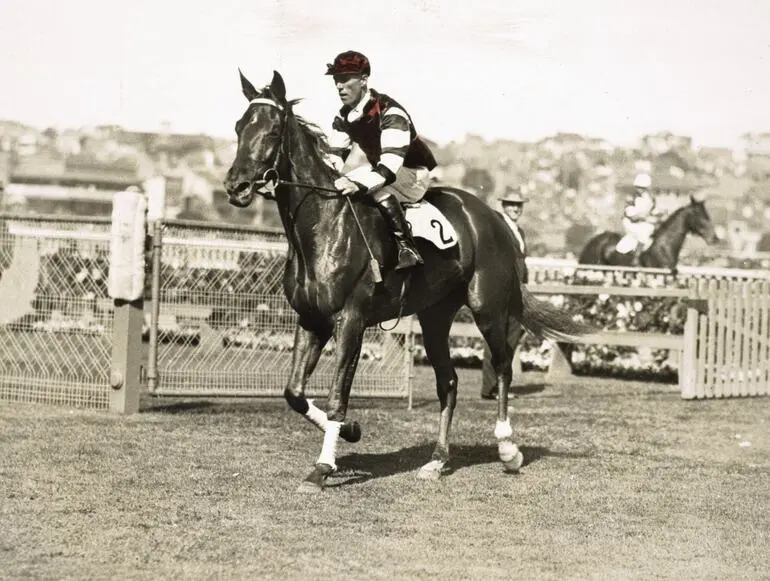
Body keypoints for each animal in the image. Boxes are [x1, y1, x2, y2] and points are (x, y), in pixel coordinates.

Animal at [225, 70, 592, 492]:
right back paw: (437, 460)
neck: (323, 227)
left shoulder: (350, 321)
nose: (235, 187)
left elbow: (336, 397)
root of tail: (493, 218)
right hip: (435, 317)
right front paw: (350, 430)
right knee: (448, 382)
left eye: (271, 131)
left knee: (503, 367)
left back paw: (507, 449)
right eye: (239, 127)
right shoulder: (311, 320)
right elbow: (295, 393)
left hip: (488, 308)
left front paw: (322, 467)